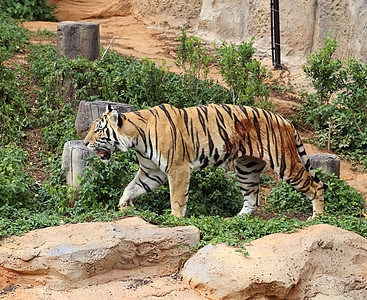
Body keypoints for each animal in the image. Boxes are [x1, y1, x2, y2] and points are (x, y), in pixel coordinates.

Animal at [84, 103, 328, 218]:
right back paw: (234, 220)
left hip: (285, 163)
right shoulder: (152, 172)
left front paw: (176, 220)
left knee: (315, 186)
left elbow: (177, 198)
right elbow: (131, 187)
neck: (136, 138)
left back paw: (316, 218)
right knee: (252, 200)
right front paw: (123, 206)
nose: (85, 143)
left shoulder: (178, 168)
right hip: (246, 168)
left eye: (98, 130)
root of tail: (286, 120)